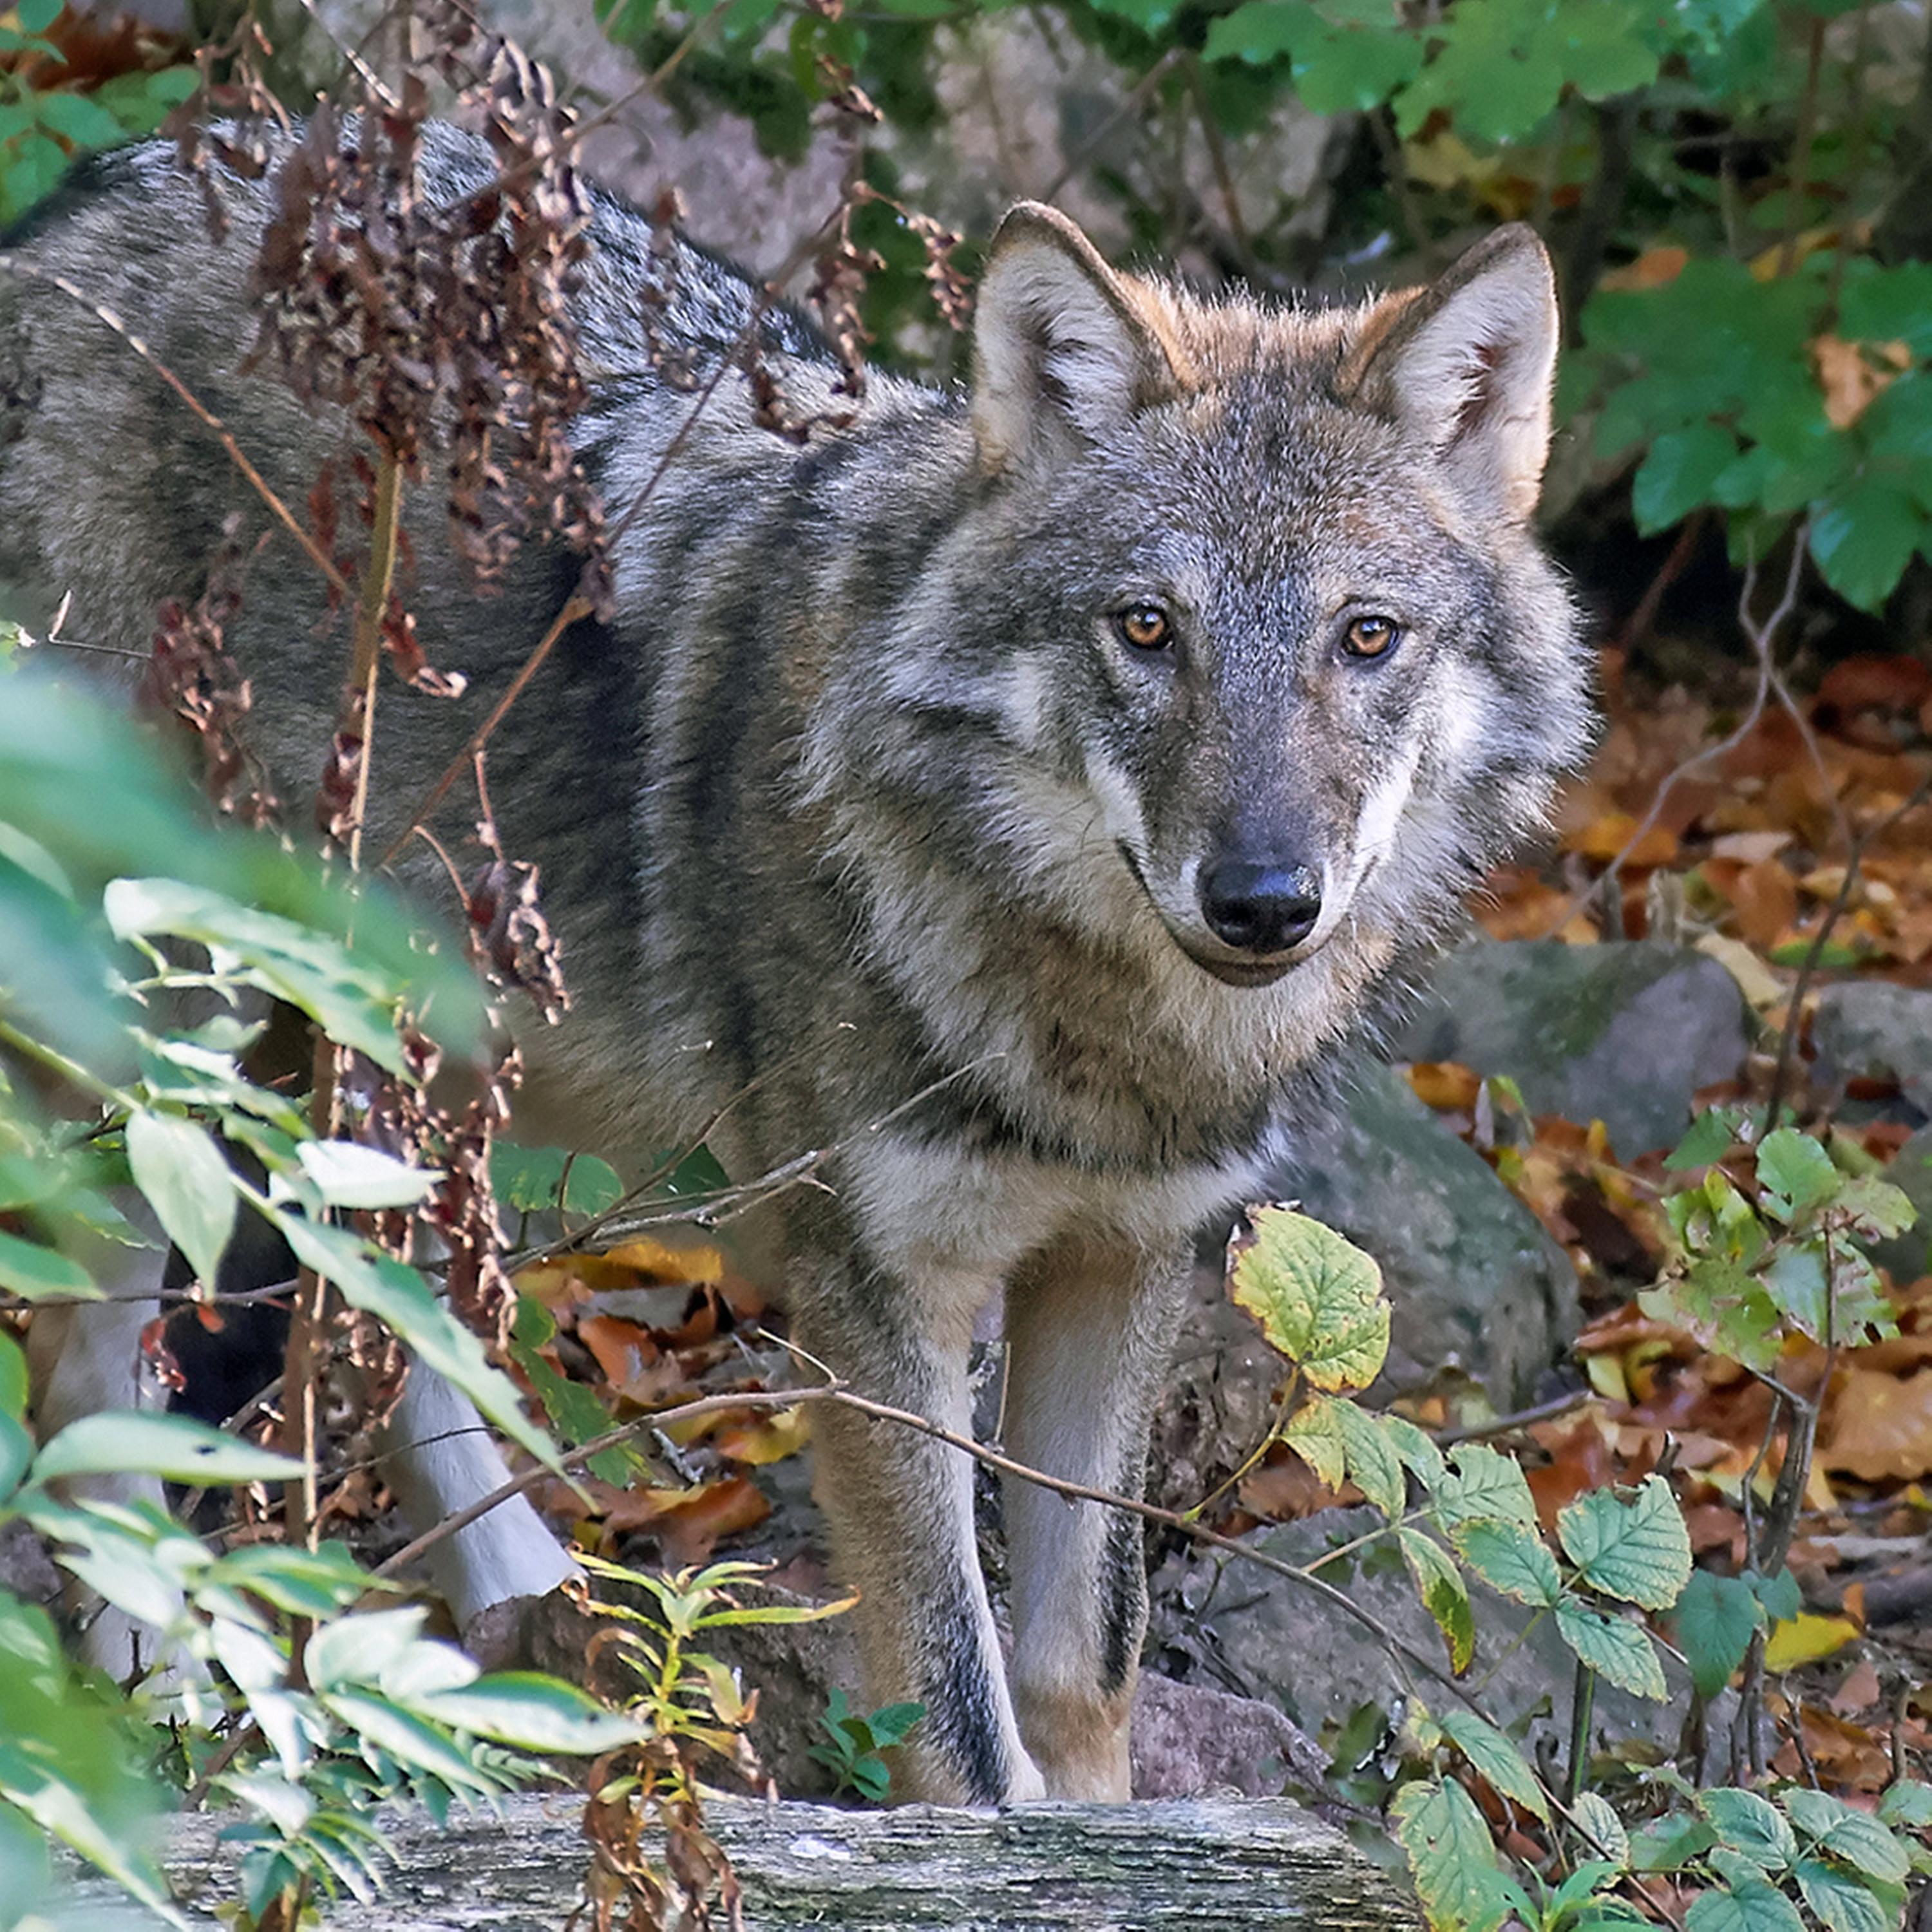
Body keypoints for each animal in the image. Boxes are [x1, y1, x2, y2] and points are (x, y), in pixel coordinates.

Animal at [0, 123, 1589, 1803]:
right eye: (1148, 629)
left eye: (1366, 639)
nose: (1264, 901)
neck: (1092, 1036)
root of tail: (93, 192)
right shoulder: (875, 1296)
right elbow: (958, 1711)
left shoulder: (1125, 1263)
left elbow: (1083, 1662)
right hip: (178, 1014)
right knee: (91, 1353)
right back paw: (166, 1678)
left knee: (375, 1295)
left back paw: (516, 1633)